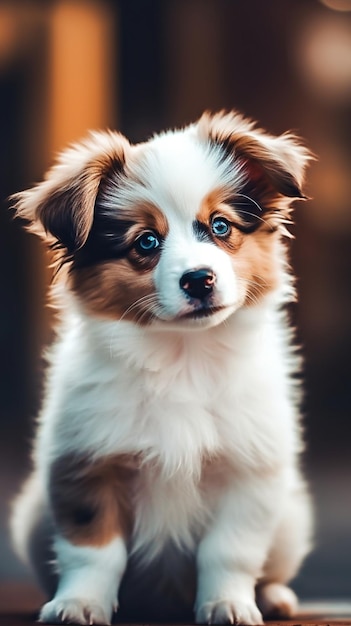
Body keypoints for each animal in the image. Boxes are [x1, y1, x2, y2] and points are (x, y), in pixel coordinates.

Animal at [10, 109, 314, 620]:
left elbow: (229, 549)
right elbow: (92, 550)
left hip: (290, 521)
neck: (182, 356)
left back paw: (273, 597)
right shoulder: (85, 463)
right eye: (147, 242)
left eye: (220, 227)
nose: (199, 280)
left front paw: (227, 604)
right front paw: (78, 603)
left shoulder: (249, 469)